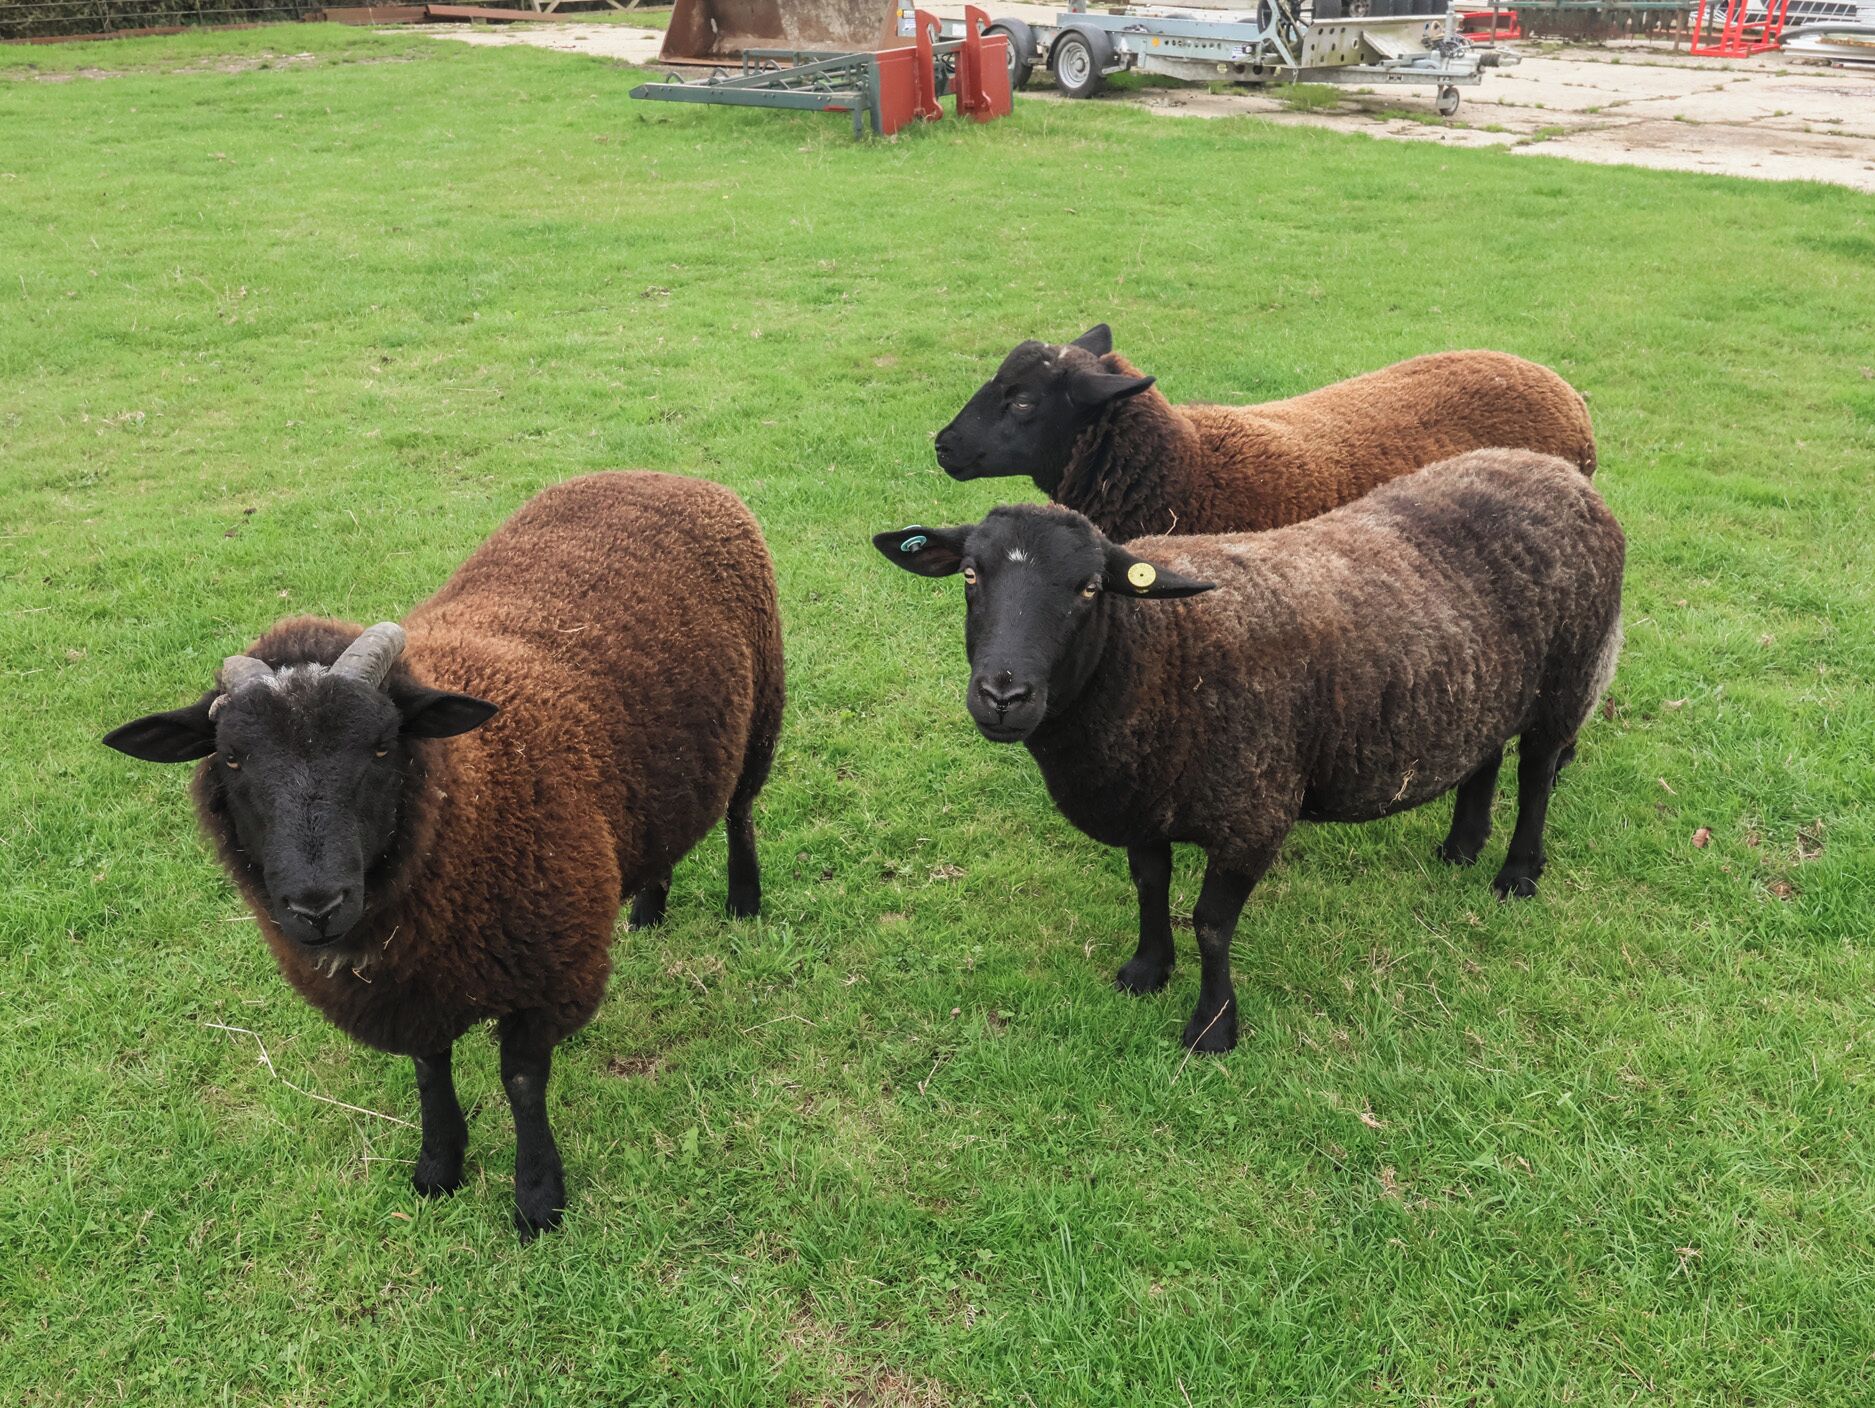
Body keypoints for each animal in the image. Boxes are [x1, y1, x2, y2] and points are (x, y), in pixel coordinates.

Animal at [104, 472, 785, 1238]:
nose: (316, 905)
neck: (471, 791)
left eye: (381, 745)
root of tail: (658, 473)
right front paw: (438, 1167)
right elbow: (431, 1070)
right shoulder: (412, 986)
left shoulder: (549, 969)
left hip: (764, 707)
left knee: (740, 813)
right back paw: (645, 908)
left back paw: (744, 900)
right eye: (232, 758)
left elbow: (521, 1082)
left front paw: (537, 1198)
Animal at [873, 448, 1623, 1055]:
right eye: (970, 576)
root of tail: (1555, 470)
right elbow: (1149, 885)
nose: (1002, 694)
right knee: (1484, 754)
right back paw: (1461, 846)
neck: (1160, 650)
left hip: (1568, 676)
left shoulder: (1253, 813)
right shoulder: (1145, 798)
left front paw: (1212, 1027)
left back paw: (1516, 873)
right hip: (1485, 680)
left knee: (1536, 773)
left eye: (1088, 588)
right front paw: (1146, 970)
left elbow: (1210, 924)